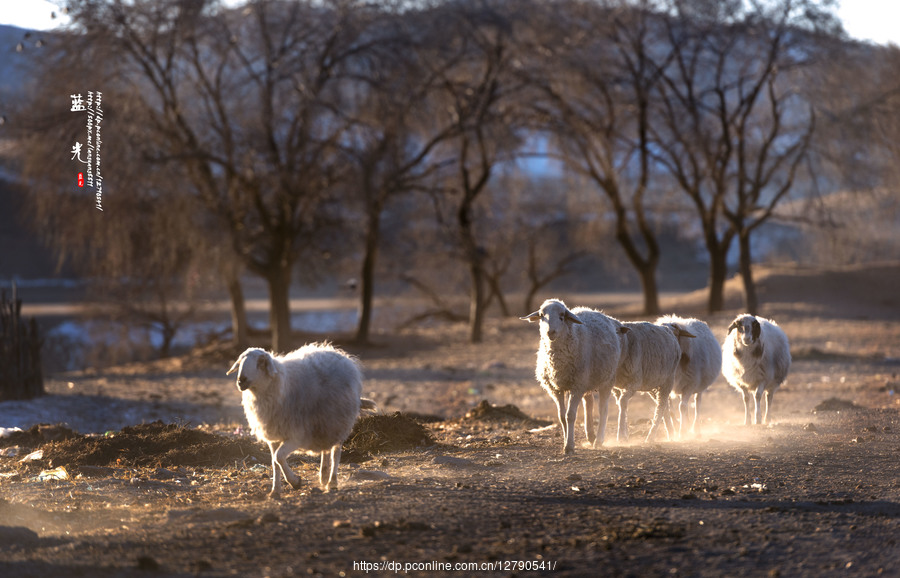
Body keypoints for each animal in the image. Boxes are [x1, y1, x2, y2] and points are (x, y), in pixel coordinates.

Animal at [229, 342, 380, 496]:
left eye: (260, 363)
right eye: (240, 362)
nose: (241, 381)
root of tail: (342, 356)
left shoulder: (297, 436)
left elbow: (278, 457)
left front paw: (295, 481)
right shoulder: (273, 437)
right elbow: (275, 462)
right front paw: (276, 490)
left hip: (338, 421)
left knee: (335, 452)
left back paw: (332, 482)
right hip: (323, 423)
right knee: (326, 449)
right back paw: (323, 475)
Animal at [520, 300, 624, 452]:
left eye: (562, 316)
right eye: (541, 315)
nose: (550, 332)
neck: (557, 362)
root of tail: (593, 310)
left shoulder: (577, 386)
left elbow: (570, 415)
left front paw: (569, 445)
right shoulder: (556, 389)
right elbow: (562, 416)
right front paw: (566, 441)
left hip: (606, 379)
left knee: (603, 410)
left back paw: (598, 440)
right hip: (587, 381)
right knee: (589, 404)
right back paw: (590, 435)